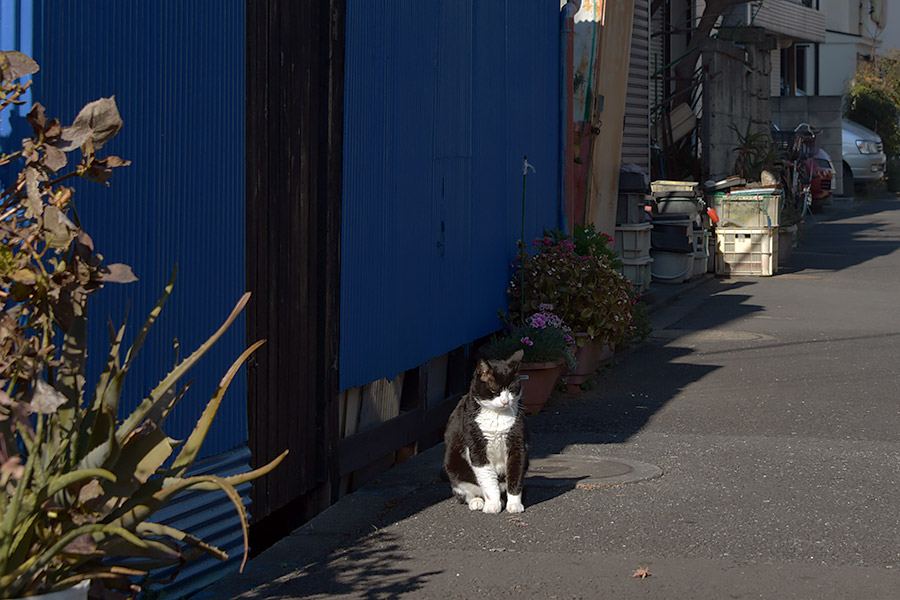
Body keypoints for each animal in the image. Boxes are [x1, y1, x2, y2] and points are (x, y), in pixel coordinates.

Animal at [442, 350, 528, 512]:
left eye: (511, 390)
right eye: (495, 390)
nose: (505, 401)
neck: (497, 415)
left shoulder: (517, 444)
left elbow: (515, 474)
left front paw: (514, 504)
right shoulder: (477, 447)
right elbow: (488, 479)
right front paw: (492, 504)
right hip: (453, 465)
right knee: (465, 492)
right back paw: (477, 501)